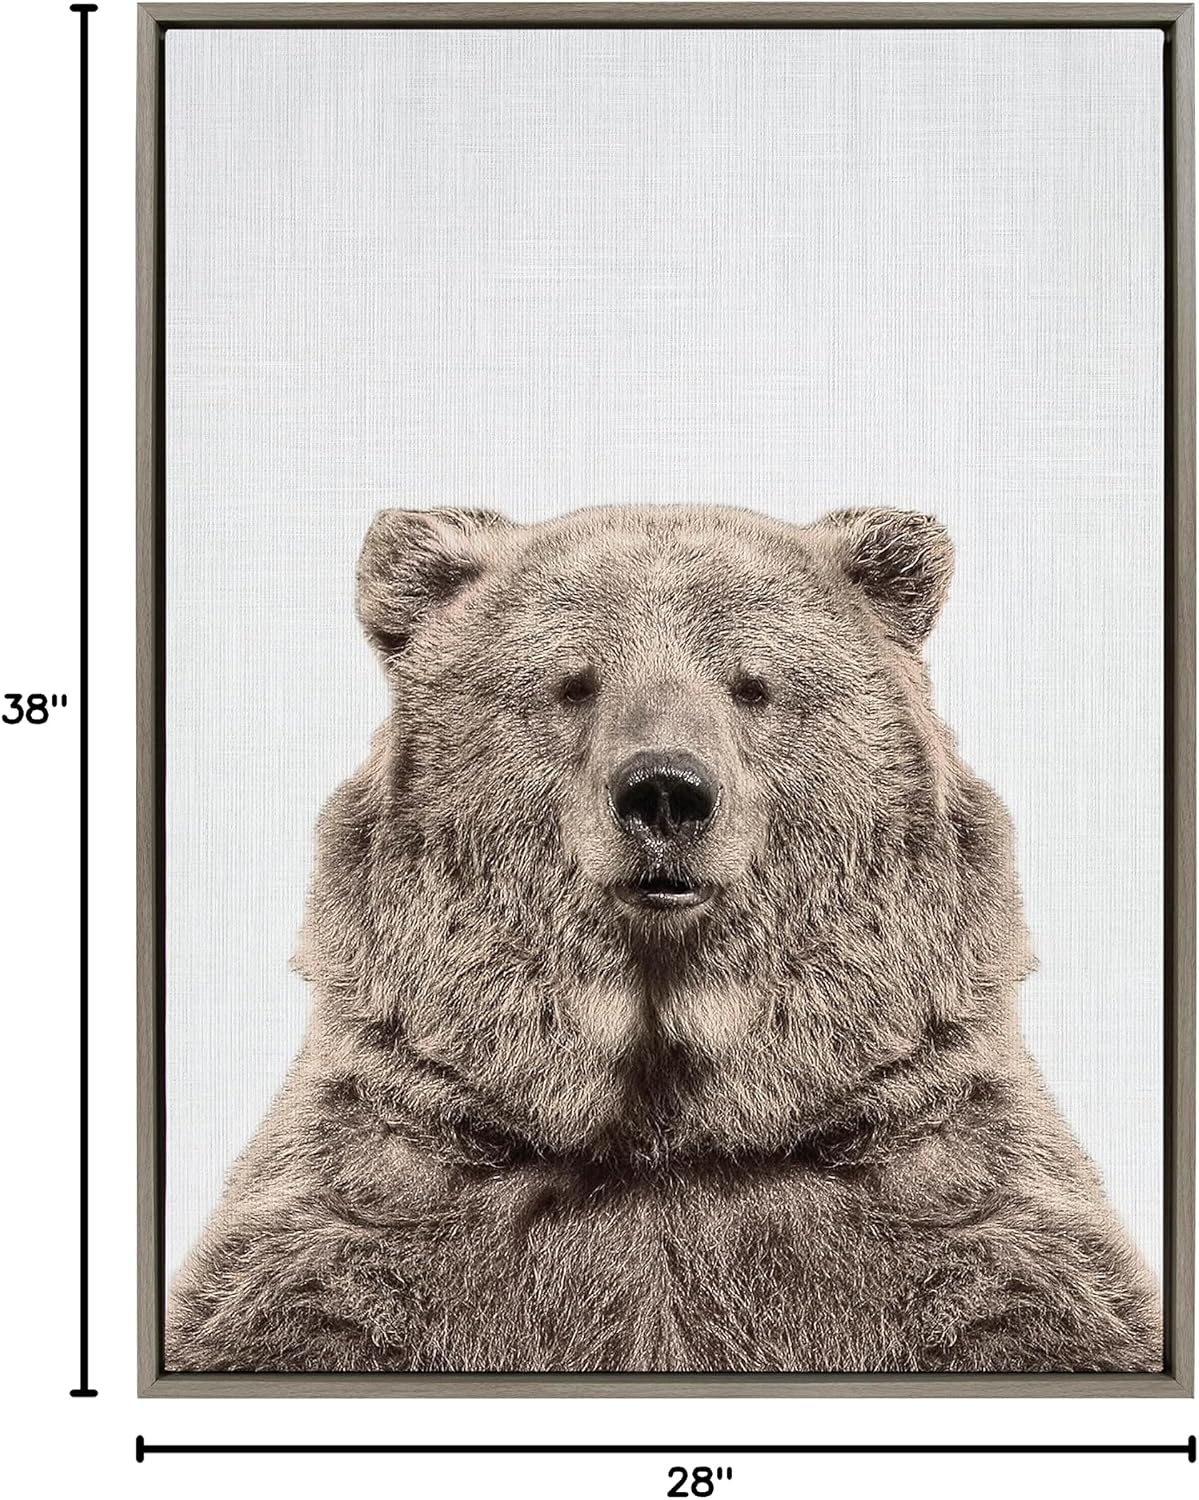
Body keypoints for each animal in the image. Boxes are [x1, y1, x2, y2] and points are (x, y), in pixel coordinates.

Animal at [166, 502, 1161, 1375]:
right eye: (573, 682)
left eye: (751, 684)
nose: (665, 793)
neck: (666, 1123)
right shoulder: (383, 1185)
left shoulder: (939, 1178)